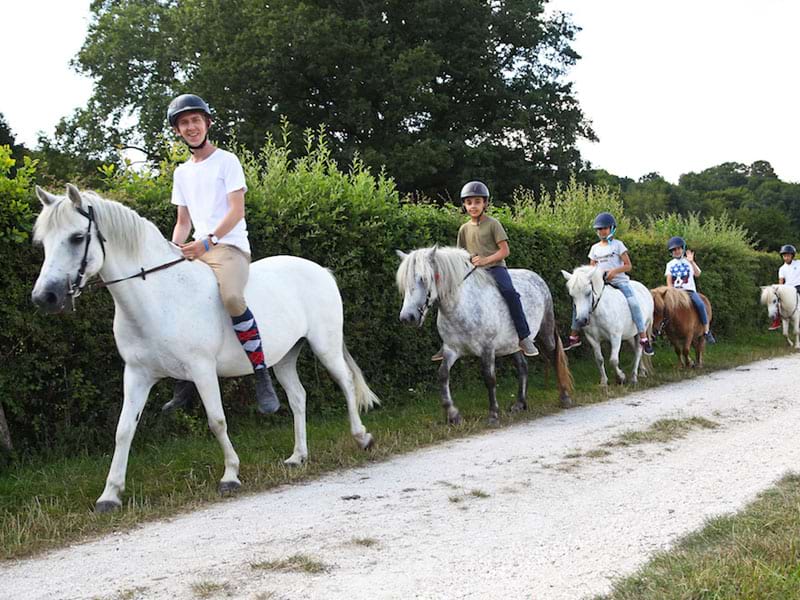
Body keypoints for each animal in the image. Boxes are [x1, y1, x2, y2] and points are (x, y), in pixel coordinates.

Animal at [32, 184, 380, 510]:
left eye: (77, 237)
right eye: (43, 242)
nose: (44, 297)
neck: (157, 295)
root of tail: (321, 270)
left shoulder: (202, 369)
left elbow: (216, 420)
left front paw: (231, 475)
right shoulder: (137, 374)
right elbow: (123, 430)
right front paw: (110, 495)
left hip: (325, 345)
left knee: (345, 383)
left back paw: (362, 437)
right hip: (284, 357)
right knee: (297, 397)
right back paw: (298, 456)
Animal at [396, 246, 572, 424]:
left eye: (423, 279)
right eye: (404, 283)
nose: (407, 317)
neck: (462, 306)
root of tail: (537, 278)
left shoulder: (487, 348)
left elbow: (489, 378)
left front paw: (493, 415)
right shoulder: (451, 349)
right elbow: (443, 375)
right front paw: (453, 415)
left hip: (545, 332)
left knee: (553, 356)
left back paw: (564, 398)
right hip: (512, 344)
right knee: (523, 366)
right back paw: (519, 404)